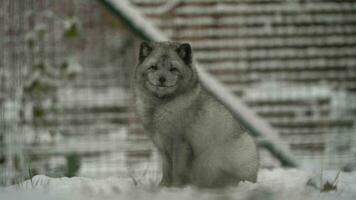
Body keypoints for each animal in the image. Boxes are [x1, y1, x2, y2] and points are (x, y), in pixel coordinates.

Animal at [134, 41, 258, 188]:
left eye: (173, 69)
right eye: (153, 67)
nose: (162, 79)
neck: (159, 105)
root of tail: (255, 177)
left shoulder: (181, 143)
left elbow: (177, 171)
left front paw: (175, 188)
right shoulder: (163, 147)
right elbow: (167, 170)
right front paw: (163, 187)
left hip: (215, 157)